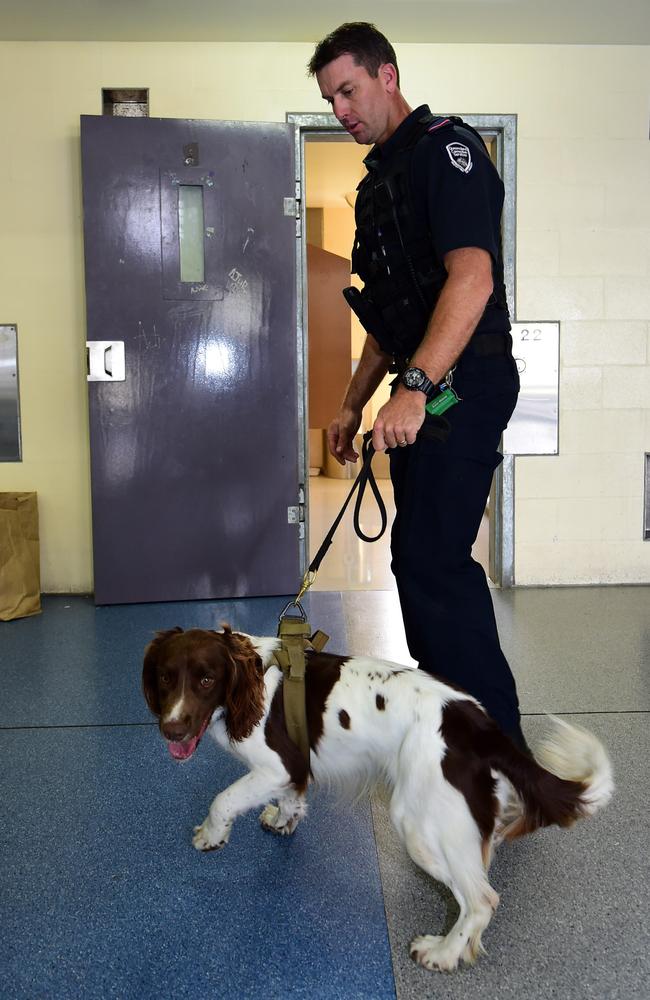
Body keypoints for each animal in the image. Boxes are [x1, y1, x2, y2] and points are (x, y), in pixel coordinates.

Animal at [143, 624, 612, 968]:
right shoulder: (295, 770)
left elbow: (223, 800)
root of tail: (479, 726)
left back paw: (443, 952)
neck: (253, 679)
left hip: (418, 824)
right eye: (165, 677)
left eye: (206, 679)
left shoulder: (277, 765)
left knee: (481, 900)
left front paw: (211, 836)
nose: (172, 730)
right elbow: (293, 799)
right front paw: (282, 820)